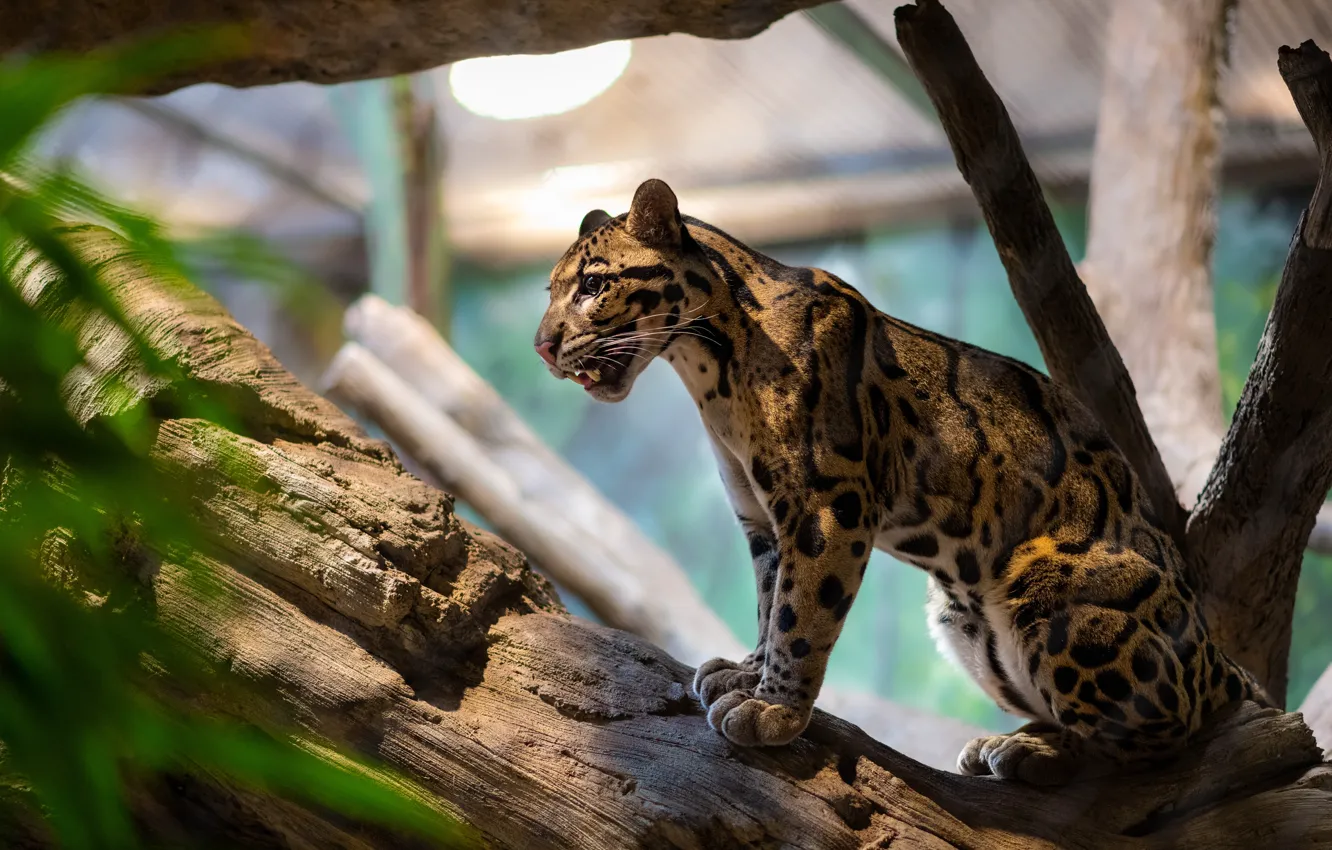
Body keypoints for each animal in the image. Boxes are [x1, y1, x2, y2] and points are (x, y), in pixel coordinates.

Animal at [532, 177, 1270, 785]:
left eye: (592, 286)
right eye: (551, 292)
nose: (542, 346)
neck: (709, 371)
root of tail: (1218, 660)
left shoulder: (828, 506)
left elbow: (802, 613)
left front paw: (774, 711)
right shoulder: (763, 519)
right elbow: (771, 602)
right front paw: (748, 672)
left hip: (1050, 588)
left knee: (1159, 735)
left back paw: (1036, 749)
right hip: (958, 615)